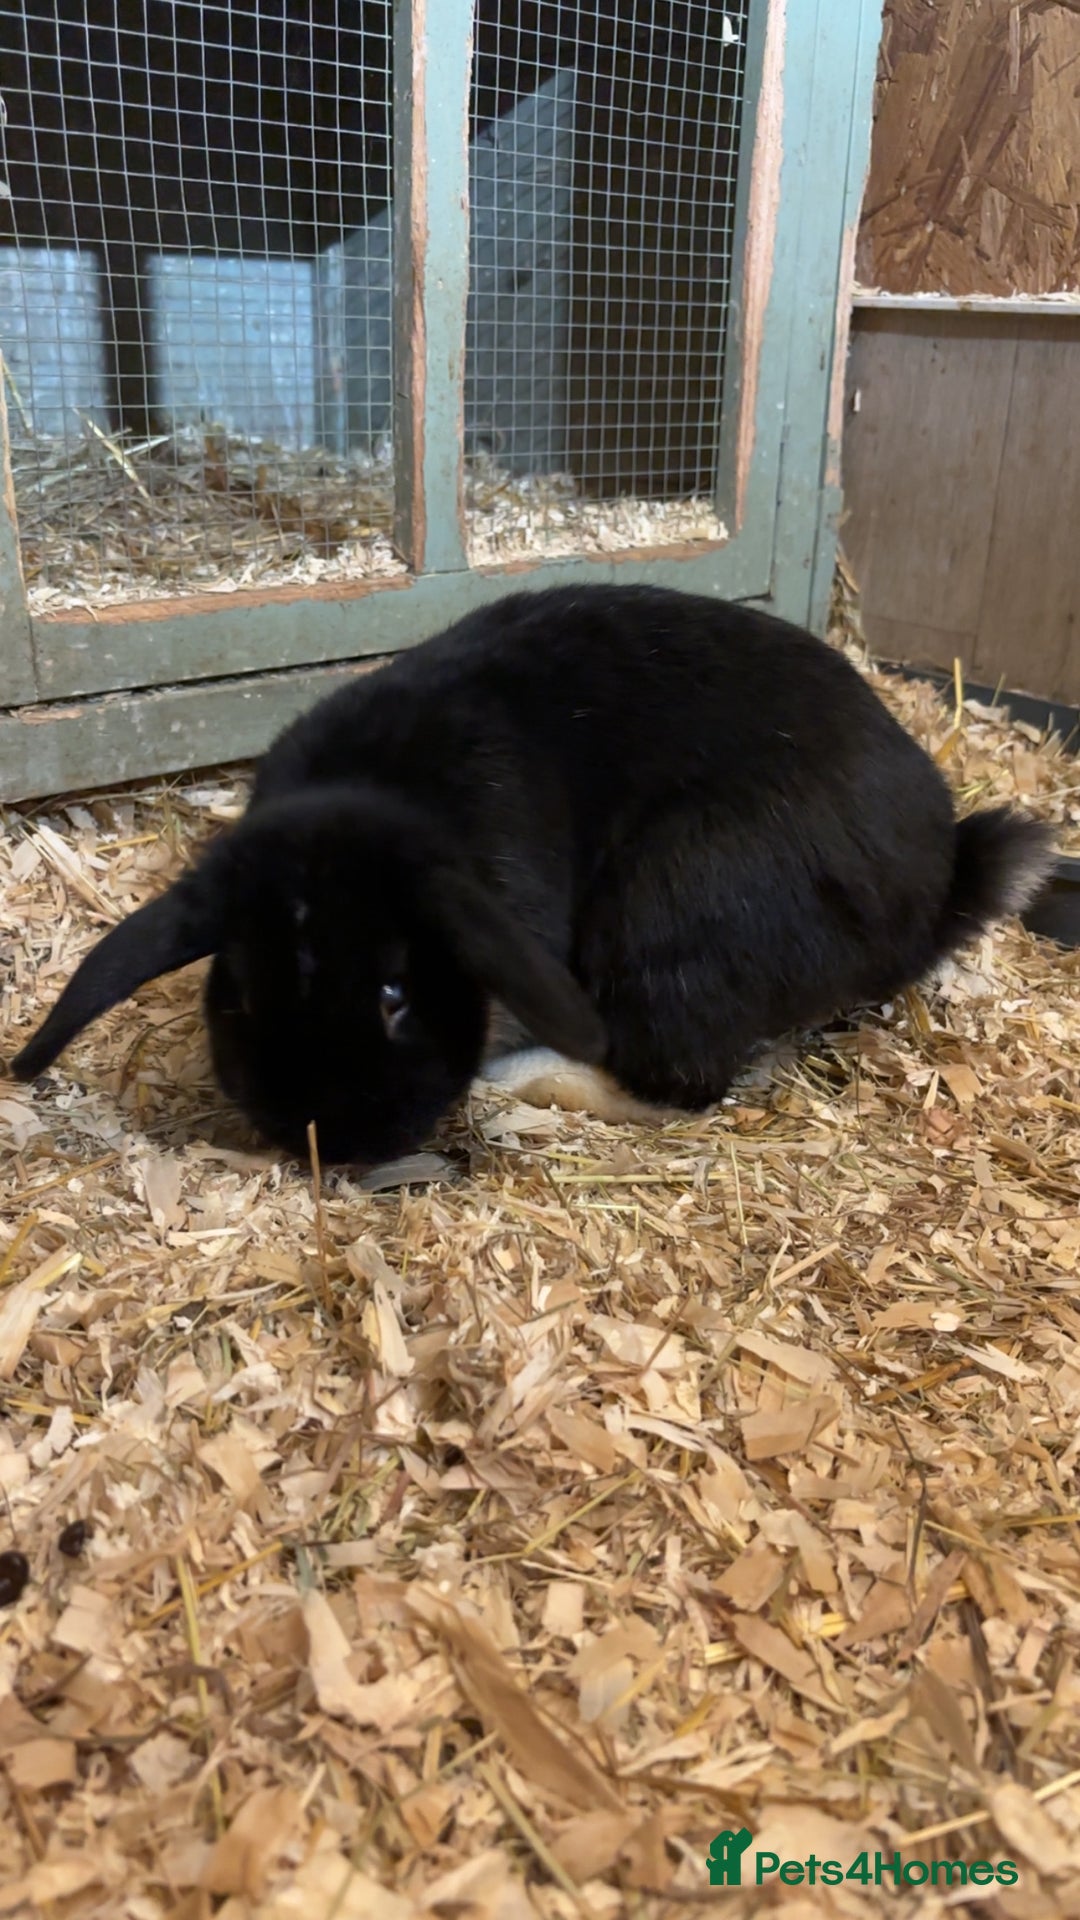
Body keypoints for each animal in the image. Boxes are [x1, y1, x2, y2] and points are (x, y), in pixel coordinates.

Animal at [8, 583, 1056, 1166]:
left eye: (394, 993)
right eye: (239, 993)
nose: (331, 1140)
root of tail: (927, 898)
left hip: (670, 910)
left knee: (678, 1083)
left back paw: (529, 1079)